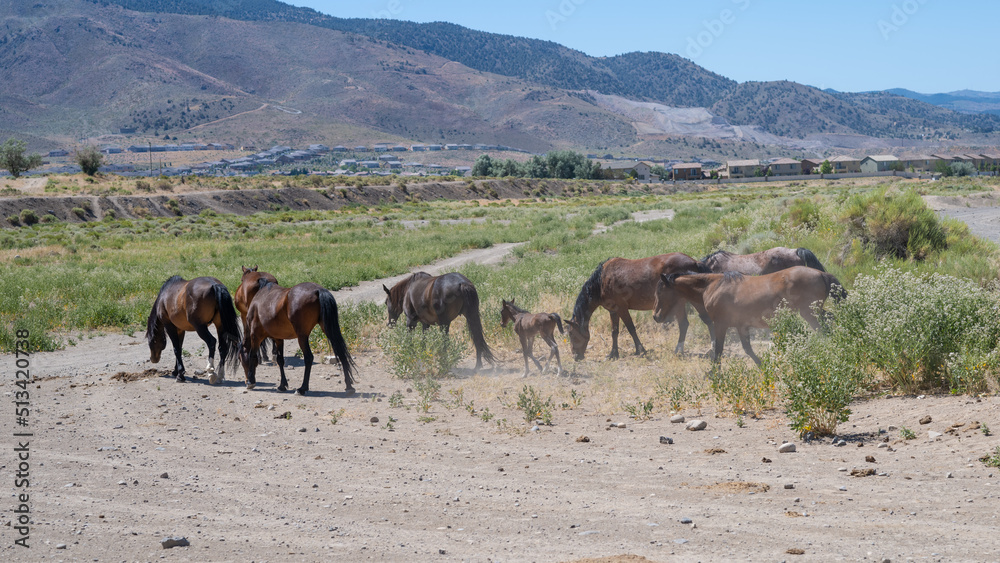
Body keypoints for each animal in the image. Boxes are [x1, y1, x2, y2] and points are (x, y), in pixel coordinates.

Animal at [568, 254, 716, 362]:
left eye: (570, 334)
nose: (575, 356)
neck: (601, 281)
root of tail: (694, 262)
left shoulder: (622, 308)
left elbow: (631, 328)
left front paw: (640, 350)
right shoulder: (613, 311)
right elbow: (614, 332)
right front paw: (613, 354)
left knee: (694, 323)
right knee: (695, 322)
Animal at [648, 268, 844, 368]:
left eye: (660, 291)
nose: (656, 316)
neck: (713, 286)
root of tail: (821, 273)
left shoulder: (721, 325)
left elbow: (718, 351)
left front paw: (713, 374)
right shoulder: (741, 326)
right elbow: (747, 349)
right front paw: (763, 366)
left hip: (810, 312)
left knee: (824, 329)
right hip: (814, 312)